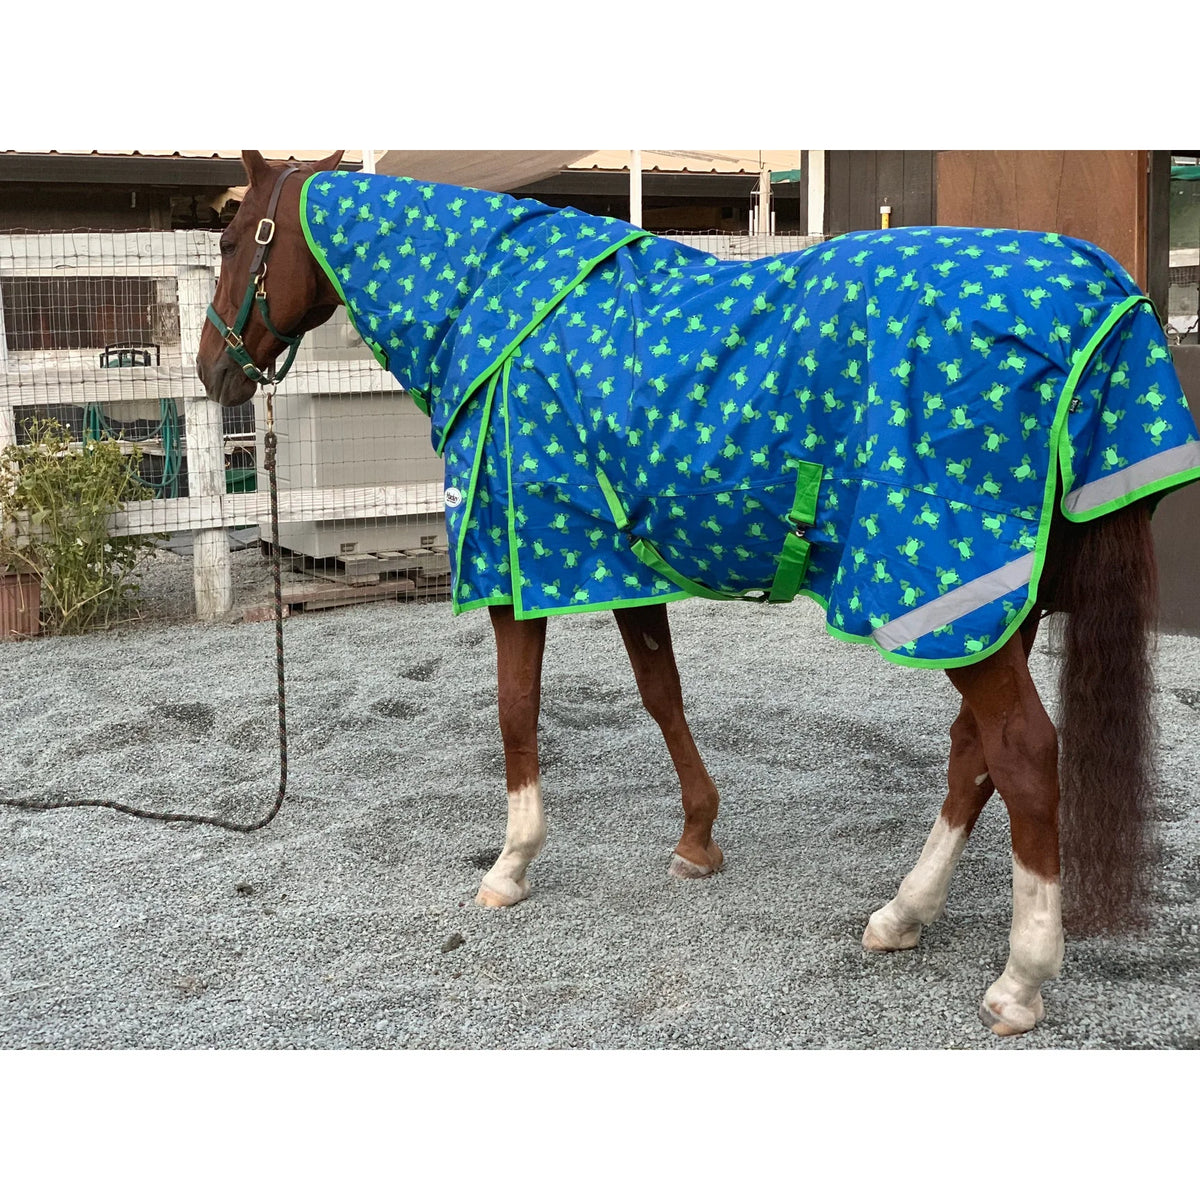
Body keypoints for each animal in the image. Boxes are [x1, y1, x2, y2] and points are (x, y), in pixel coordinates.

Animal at [197, 151, 1200, 1037]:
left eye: (236, 238)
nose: (212, 371)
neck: (504, 313)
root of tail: (1106, 294)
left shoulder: (523, 566)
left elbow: (517, 711)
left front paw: (512, 864)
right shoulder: (617, 564)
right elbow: (661, 693)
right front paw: (697, 840)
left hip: (947, 594)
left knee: (1024, 756)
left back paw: (1020, 981)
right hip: (993, 614)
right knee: (974, 756)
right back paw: (902, 915)